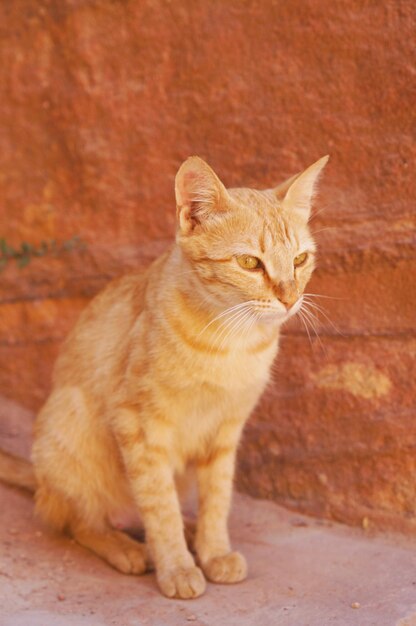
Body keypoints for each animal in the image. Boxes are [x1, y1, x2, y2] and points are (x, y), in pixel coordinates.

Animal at [0, 154, 330, 596]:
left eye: (299, 260)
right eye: (249, 263)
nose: (291, 299)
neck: (231, 342)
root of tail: (38, 477)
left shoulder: (226, 430)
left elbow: (217, 498)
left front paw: (213, 550)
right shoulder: (138, 425)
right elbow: (159, 505)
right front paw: (175, 566)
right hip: (67, 426)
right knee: (78, 521)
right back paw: (126, 548)